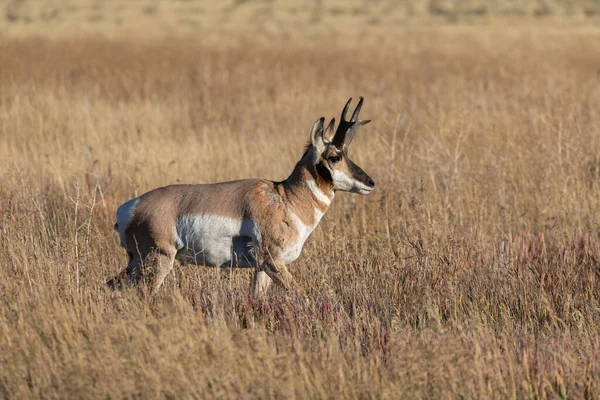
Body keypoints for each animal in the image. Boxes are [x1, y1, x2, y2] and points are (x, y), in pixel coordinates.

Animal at [105, 97, 372, 296]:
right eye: (335, 157)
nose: (370, 182)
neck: (285, 199)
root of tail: (129, 207)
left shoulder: (262, 268)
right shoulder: (273, 262)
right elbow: (299, 293)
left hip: (137, 263)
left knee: (110, 285)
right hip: (157, 261)